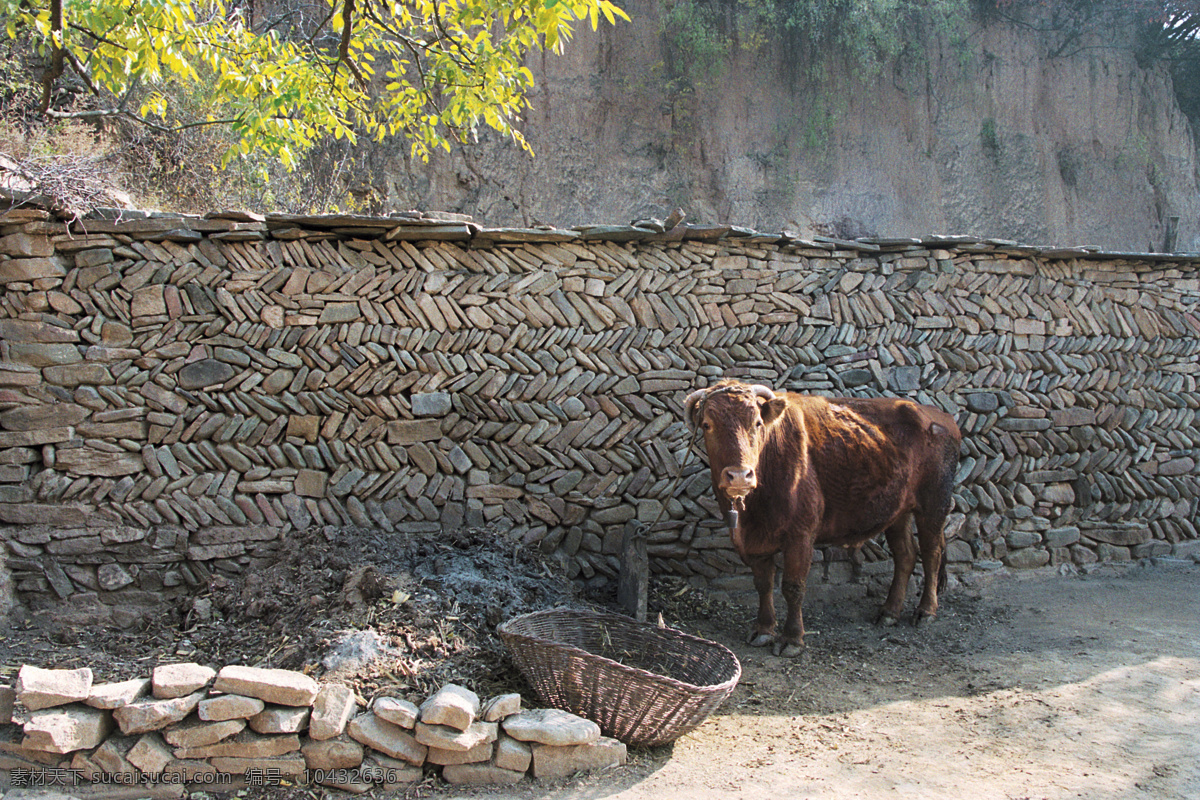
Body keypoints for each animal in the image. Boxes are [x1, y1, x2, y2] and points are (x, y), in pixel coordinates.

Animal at [686, 381, 964, 657]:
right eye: (707, 425)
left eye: (757, 423)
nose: (739, 476)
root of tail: (938, 415)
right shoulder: (754, 543)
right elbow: (763, 584)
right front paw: (763, 630)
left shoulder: (801, 535)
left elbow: (793, 587)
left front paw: (792, 639)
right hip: (899, 511)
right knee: (905, 554)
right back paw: (889, 612)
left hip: (934, 505)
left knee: (931, 553)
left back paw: (925, 611)